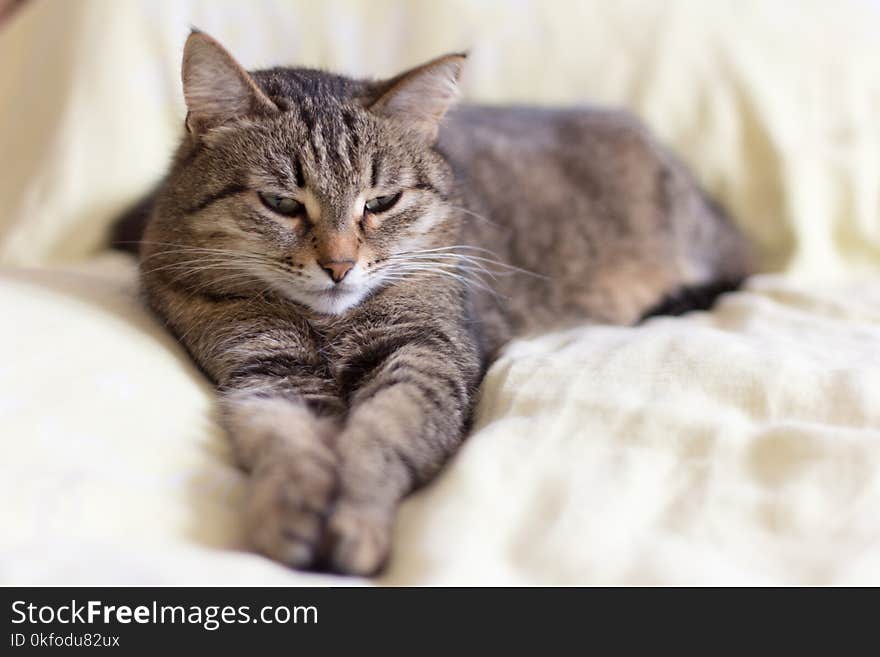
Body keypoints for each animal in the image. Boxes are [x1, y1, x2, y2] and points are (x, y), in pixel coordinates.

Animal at [113, 32, 752, 576]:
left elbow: (382, 437)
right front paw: (290, 513)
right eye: (281, 203)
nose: (339, 265)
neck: (325, 323)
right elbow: (283, 441)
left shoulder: (426, 354)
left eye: (381, 202)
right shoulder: (264, 370)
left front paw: (356, 522)